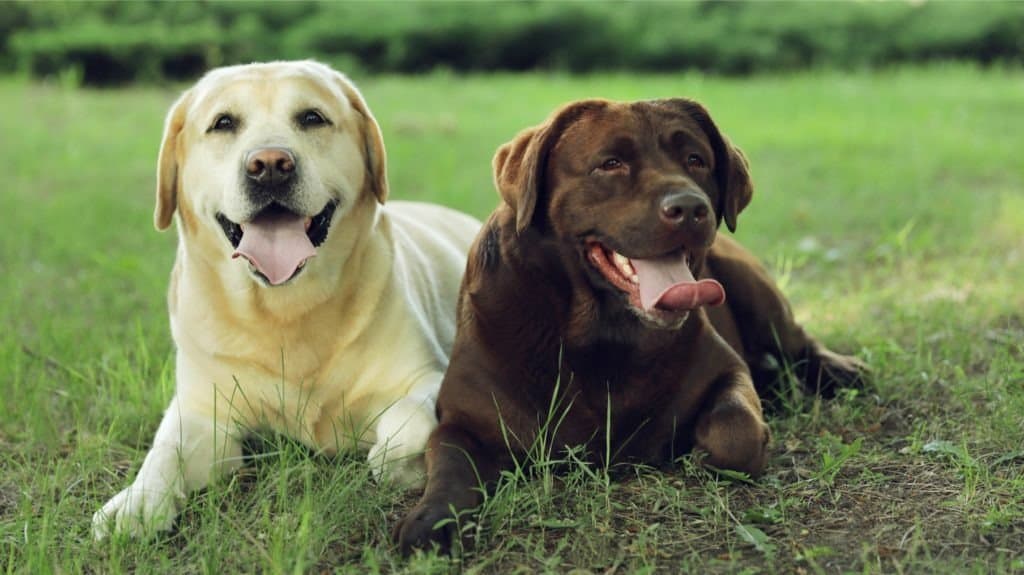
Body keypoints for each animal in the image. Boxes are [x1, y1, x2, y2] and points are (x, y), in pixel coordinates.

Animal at [391, 97, 864, 552]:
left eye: (696, 159)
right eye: (611, 163)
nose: (690, 207)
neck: (602, 332)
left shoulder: (727, 370)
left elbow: (736, 430)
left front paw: (703, 449)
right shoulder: (461, 419)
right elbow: (449, 466)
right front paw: (432, 523)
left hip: (750, 284)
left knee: (796, 343)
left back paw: (839, 370)